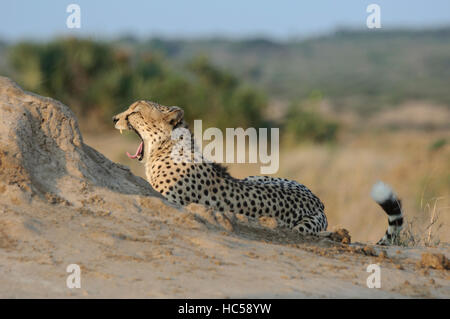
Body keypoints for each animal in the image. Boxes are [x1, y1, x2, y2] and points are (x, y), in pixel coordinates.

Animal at [112, 100, 404, 245]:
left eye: (135, 112)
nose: (115, 118)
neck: (168, 146)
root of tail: (318, 200)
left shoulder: (170, 200)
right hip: (258, 177)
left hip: (302, 225)